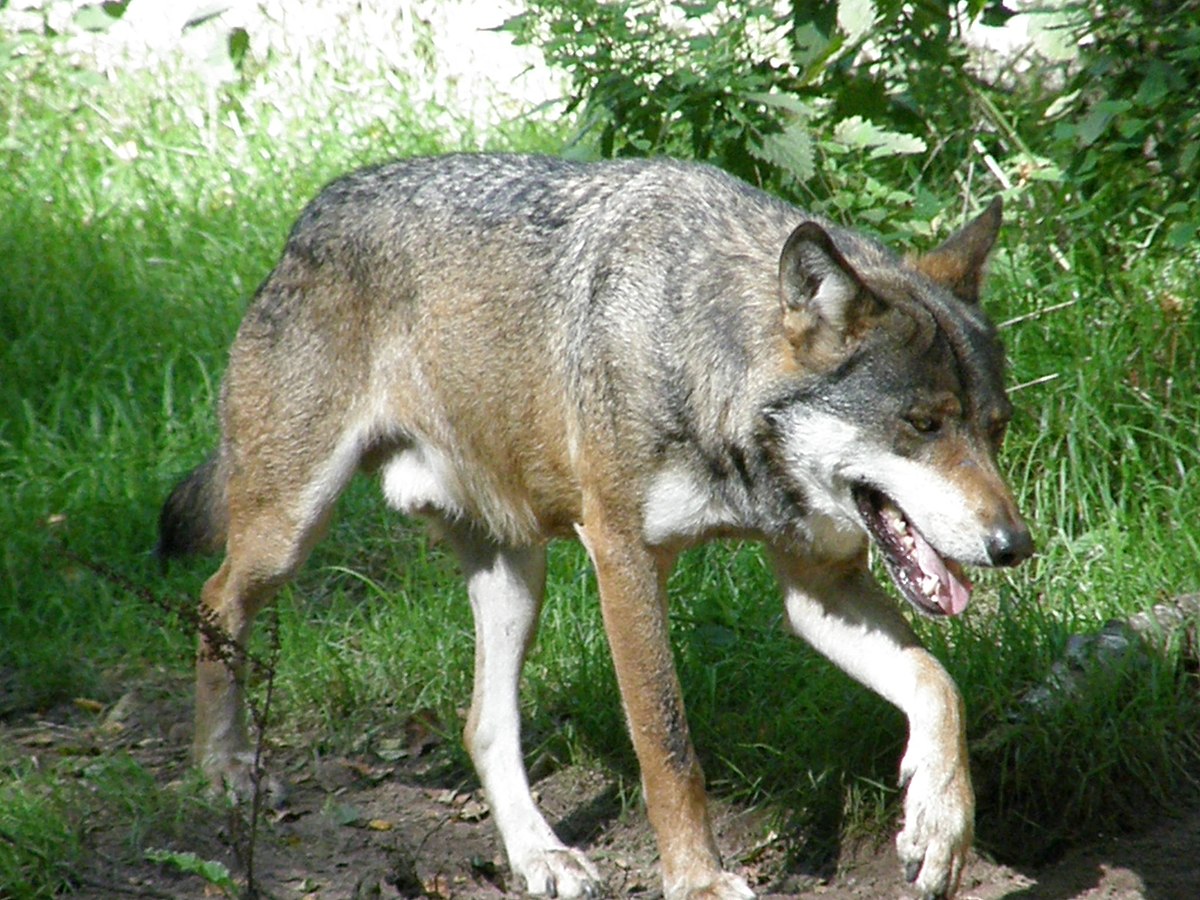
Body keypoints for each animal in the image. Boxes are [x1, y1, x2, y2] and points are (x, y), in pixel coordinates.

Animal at [159, 153, 1033, 900]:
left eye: (995, 428)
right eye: (922, 424)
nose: (1014, 547)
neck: (701, 357)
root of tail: (309, 216)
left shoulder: (814, 586)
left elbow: (938, 685)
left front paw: (940, 824)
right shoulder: (623, 560)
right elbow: (668, 747)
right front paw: (697, 879)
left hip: (518, 580)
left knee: (483, 726)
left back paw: (541, 856)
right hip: (290, 529)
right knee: (213, 598)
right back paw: (224, 767)